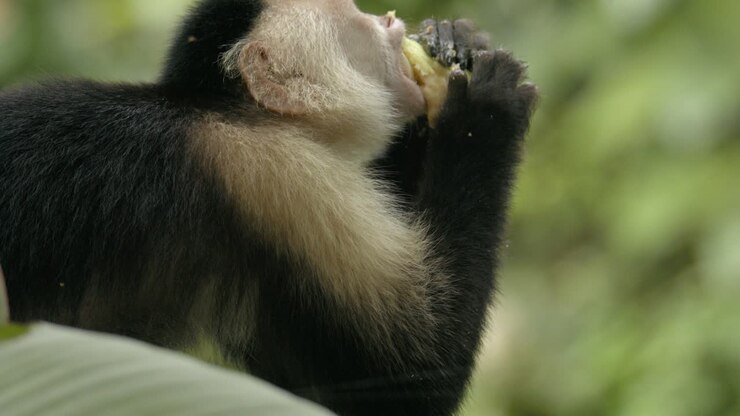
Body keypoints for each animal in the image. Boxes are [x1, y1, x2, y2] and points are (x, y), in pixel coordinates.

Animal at [0, 0, 537, 414]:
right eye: (353, 16)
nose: (389, 23)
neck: (228, 111)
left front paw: (456, 39)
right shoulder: (273, 173)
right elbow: (405, 378)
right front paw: (485, 110)